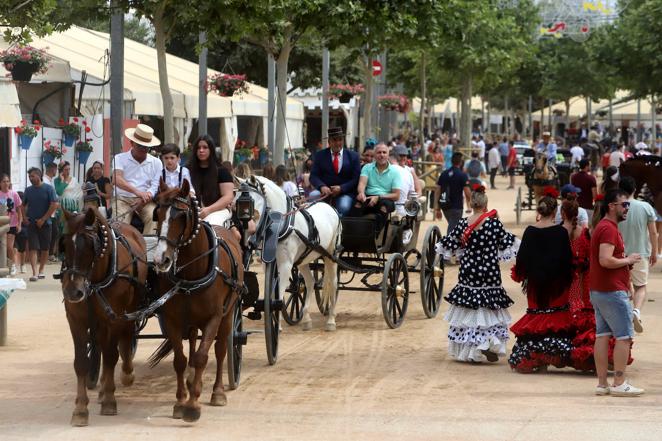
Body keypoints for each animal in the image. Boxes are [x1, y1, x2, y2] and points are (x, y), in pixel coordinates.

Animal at [60, 208, 148, 424]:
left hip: (126, 313)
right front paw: (80, 409)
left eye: (91, 245)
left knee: (124, 342)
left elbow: (111, 356)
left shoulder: (113, 318)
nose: (73, 292)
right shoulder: (75, 320)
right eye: (65, 245)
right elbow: (81, 362)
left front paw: (109, 399)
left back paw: (126, 374)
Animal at [150, 179, 244, 422]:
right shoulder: (173, 319)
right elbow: (180, 359)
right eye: (157, 213)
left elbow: (203, 356)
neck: (192, 273)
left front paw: (193, 405)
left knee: (220, 349)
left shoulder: (214, 317)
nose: (161, 259)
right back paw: (193, 380)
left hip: (228, 314)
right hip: (191, 319)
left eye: (181, 215)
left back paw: (218, 392)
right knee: (192, 339)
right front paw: (181, 401)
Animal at [239, 175, 342, 330]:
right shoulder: (268, 263)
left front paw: (277, 324)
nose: (247, 239)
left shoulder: (286, 265)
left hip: (331, 256)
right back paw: (306, 319)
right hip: (302, 260)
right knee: (310, 282)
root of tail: (329, 206)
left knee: (334, 284)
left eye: (251, 204)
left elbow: (280, 292)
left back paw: (331, 320)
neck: (282, 225)